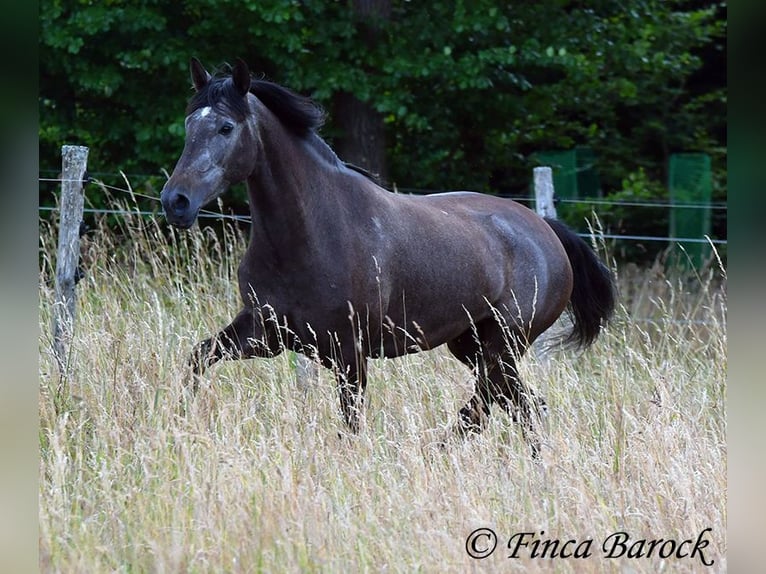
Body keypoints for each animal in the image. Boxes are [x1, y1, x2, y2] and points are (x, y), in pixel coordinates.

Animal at [162, 58, 616, 460]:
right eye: (188, 124)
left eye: (226, 127)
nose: (175, 202)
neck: (311, 233)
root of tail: (545, 229)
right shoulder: (266, 332)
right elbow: (197, 360)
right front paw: (178, 424)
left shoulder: (350, 353)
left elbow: (350, 423)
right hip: (470, 343)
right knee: (518, 403)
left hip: (503, 342)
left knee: (492, 403)